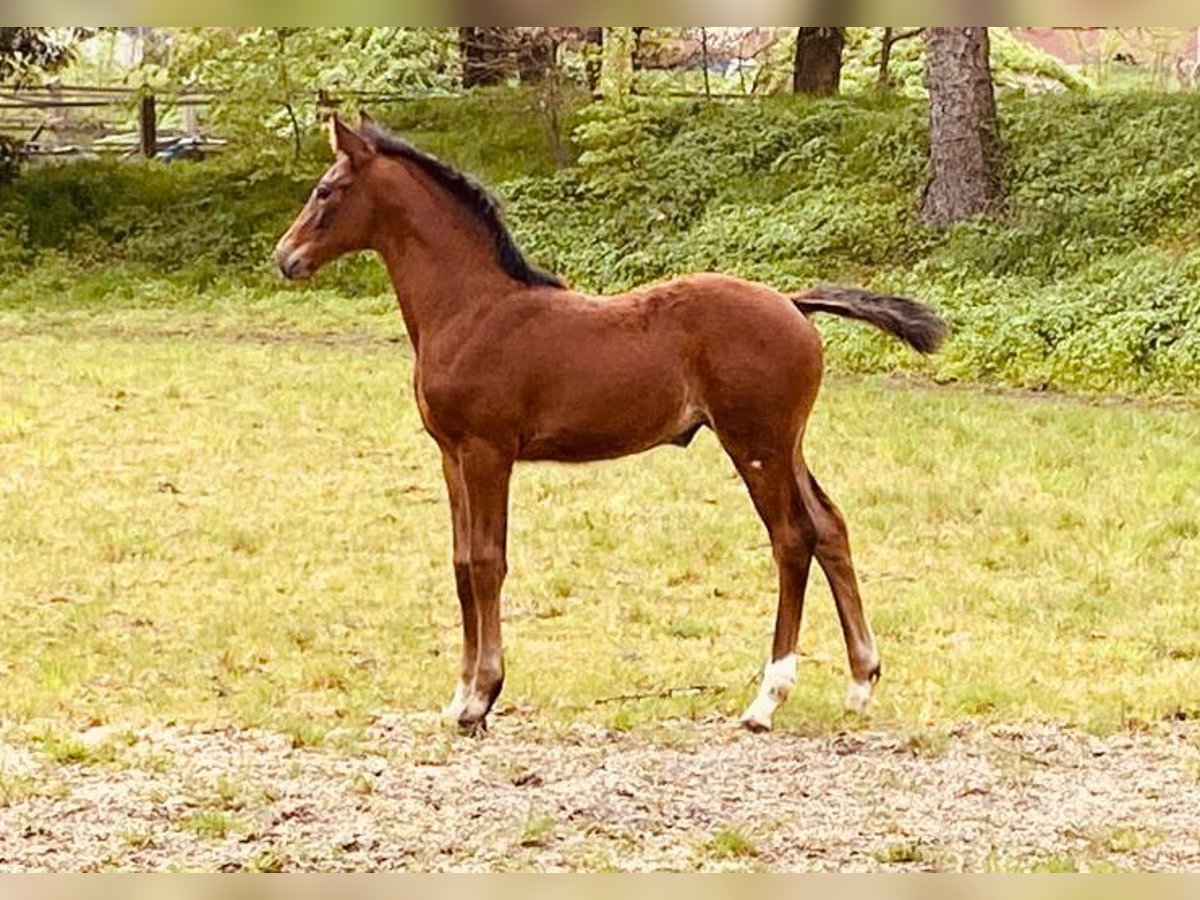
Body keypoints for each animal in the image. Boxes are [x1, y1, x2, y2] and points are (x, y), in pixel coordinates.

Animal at [276, 114, 940, 734]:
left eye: (326, 190)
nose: (285, 258)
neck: (472, 309)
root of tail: (794, 304)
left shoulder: (488, 451)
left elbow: (488, 562)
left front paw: (483, 696)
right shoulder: (450, 454)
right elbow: (462, 564)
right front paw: (459, 698)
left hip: (754, 444)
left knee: (793, 539)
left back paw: (766, 701)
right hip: (785, 443)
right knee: (830, 527)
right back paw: (860, 683)